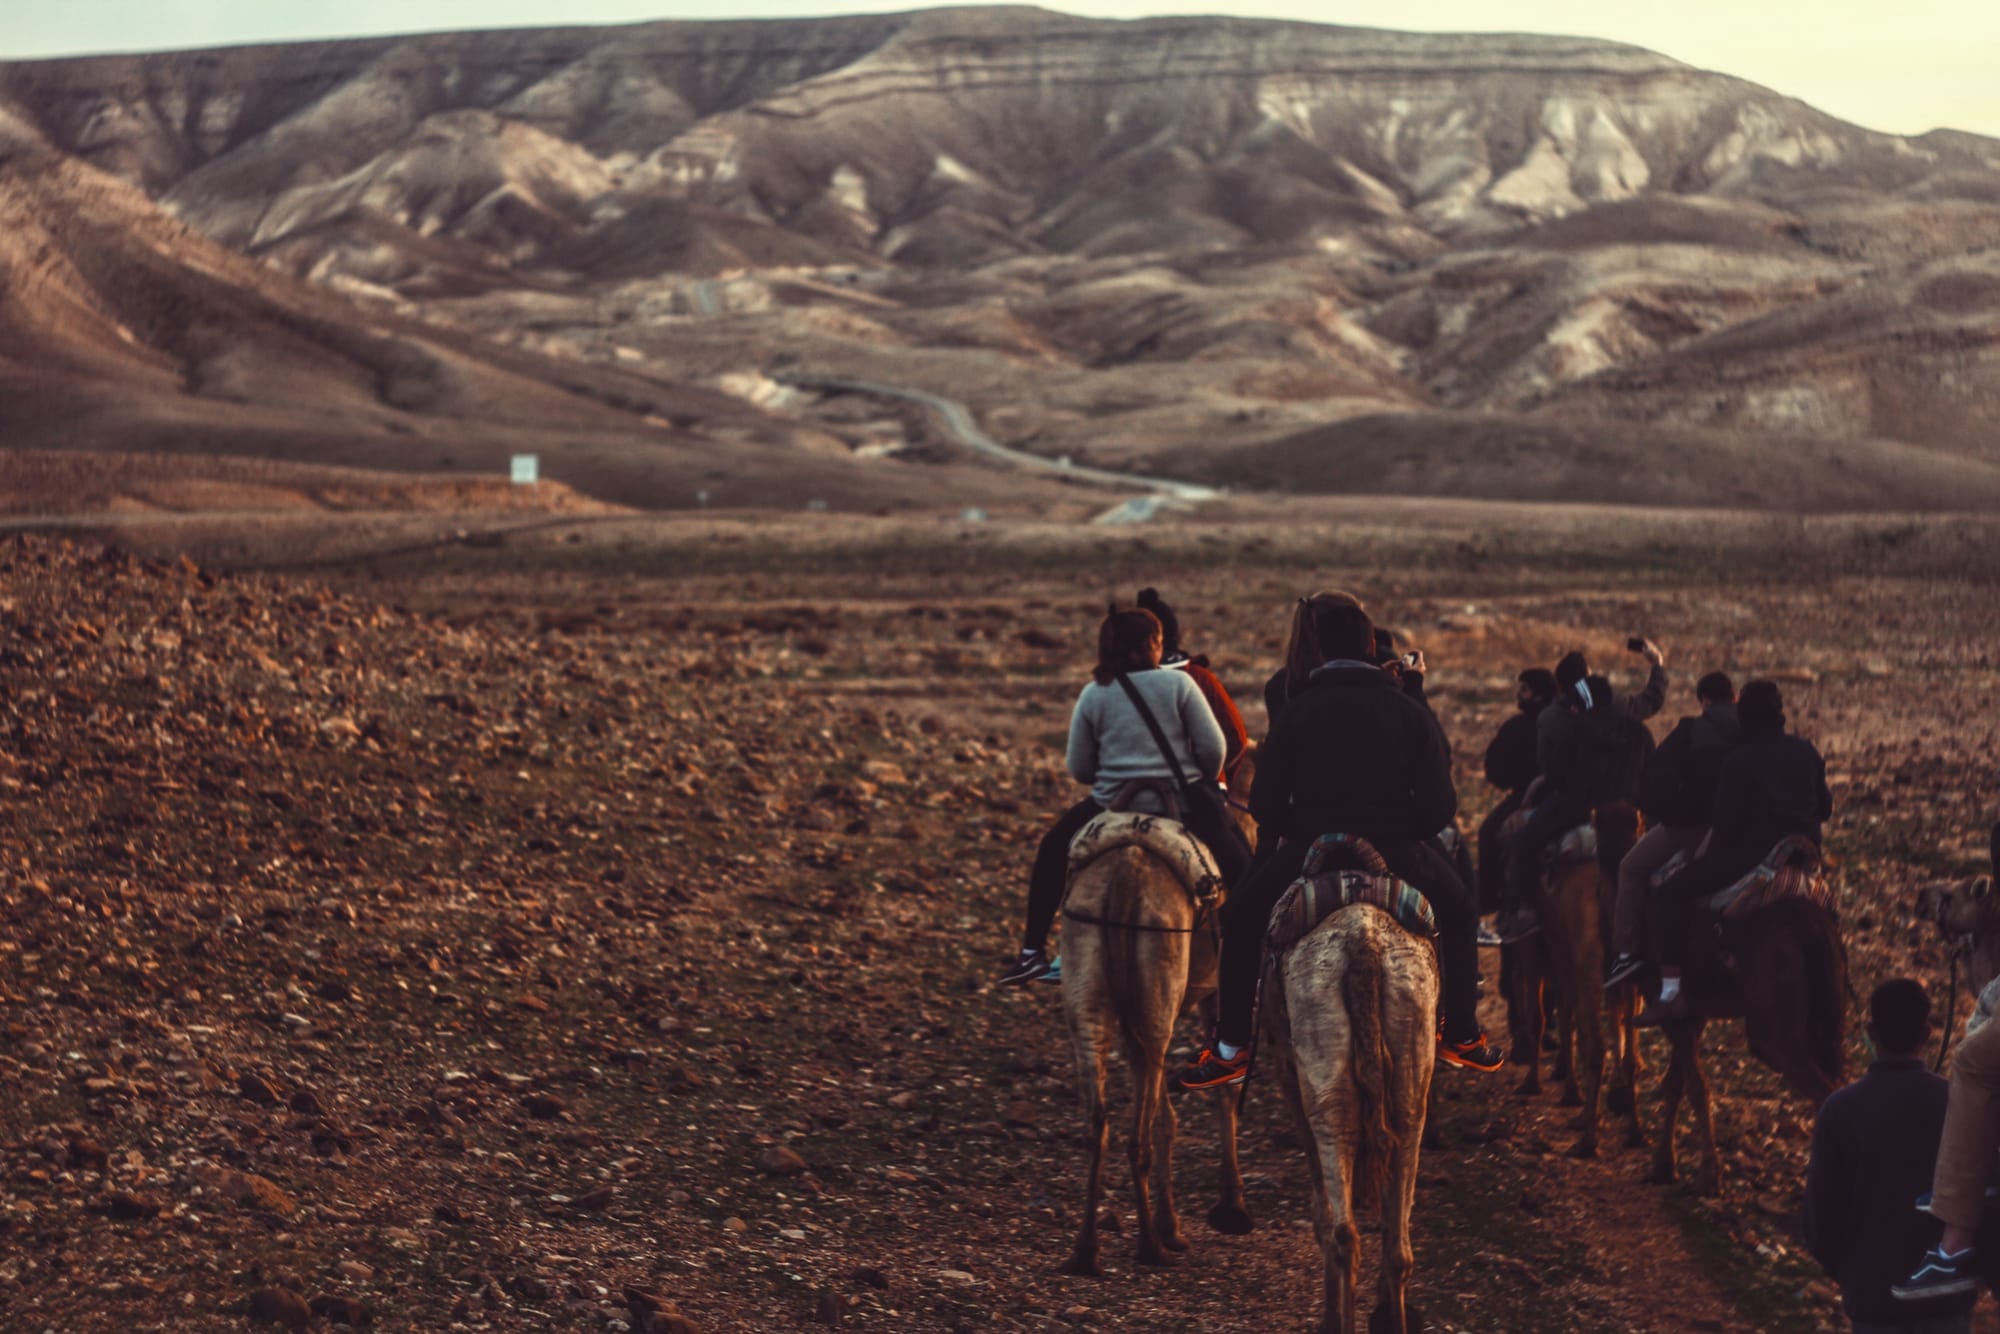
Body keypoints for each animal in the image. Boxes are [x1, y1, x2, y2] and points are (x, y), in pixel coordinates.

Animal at [1264, 844, 1440, 1334]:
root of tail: (1365, 943)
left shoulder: (1290, 1078)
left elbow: (1321, 1211)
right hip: (1411, 1064)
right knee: (1398, 1245)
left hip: (1324, 1080)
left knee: (1343, 1229)